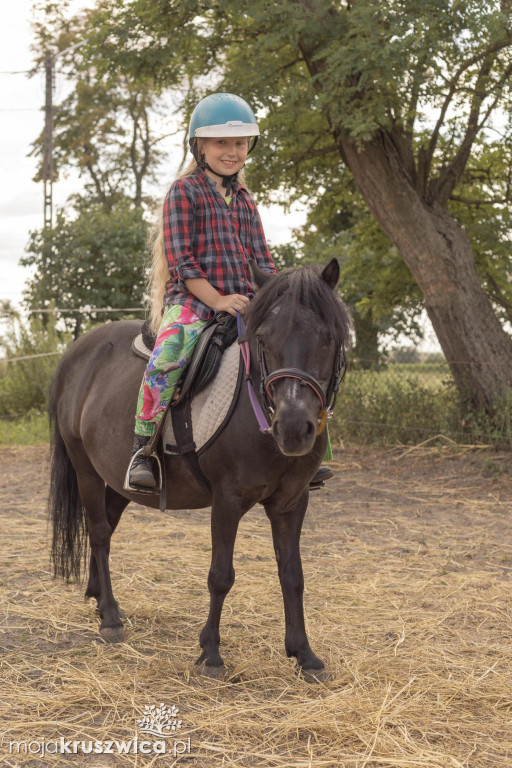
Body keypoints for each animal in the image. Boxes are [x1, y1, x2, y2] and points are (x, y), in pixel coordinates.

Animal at [49, 262, 352, 680]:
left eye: (328, 337)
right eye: (263, 339)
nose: (293, 428)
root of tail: (75, 354)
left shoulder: (293, 501)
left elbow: (293, 575)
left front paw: (304, 654)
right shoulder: (227, 499)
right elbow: (220, 575)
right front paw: (210, 652)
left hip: (118, 481)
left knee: (107, 526)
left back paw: (98, 597)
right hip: (85, 470)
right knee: (99, 534)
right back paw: (109, 617)